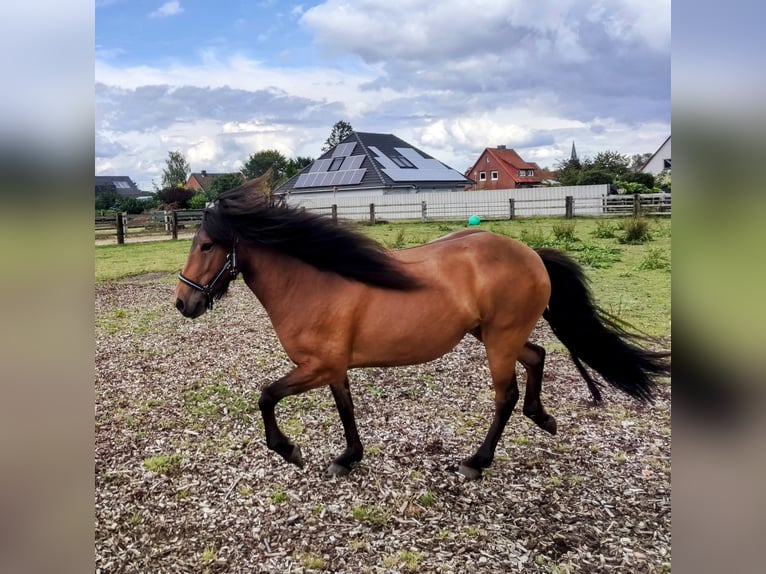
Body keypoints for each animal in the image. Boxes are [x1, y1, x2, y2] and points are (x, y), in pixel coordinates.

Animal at [176, 180, 672, 482]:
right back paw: (543, 417)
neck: (314, 282)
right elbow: (346, 409)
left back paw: (476, 462)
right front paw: (348, 458)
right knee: (536, 357)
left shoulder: (316, 367)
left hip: (498, 341)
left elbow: (265, 396)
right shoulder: (334, 368)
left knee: (505, 396)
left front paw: (290, 450)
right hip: (493, 335)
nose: (184, 303)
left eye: (207, 246)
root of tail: (532, 254)